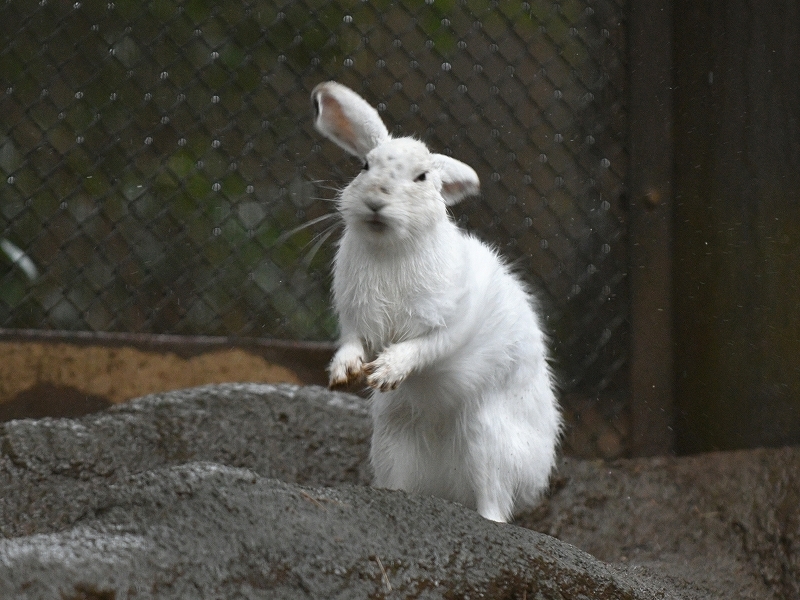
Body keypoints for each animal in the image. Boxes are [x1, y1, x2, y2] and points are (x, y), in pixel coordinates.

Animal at [310, 82, 560, 524]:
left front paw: (386, 372)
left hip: (487, 441)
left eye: (422, 177)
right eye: (365, 167)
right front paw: (346, 372)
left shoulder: (450, 323)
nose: (376, 201)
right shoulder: (354, 321)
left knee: (494, 504)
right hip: (393, 442)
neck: (390, 249)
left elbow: (422, 348)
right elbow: (352, 344)